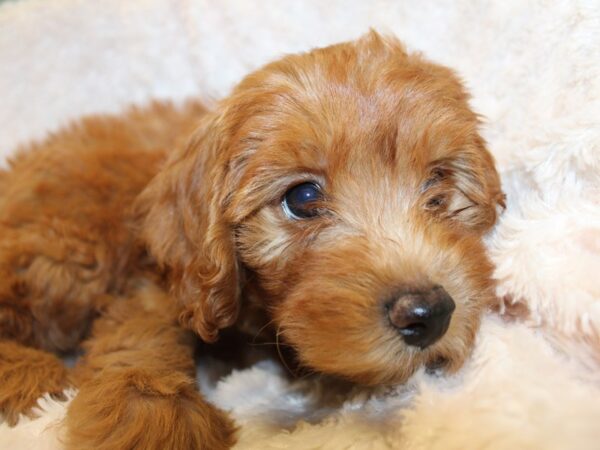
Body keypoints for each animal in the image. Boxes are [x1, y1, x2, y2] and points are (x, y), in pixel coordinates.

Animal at [0, 30, 504, 446]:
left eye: (437, 184)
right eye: (302, 198)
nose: (429, 313)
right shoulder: (166, 277)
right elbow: (141, 335)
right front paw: (152, 417)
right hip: (67, 247)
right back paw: (35, 377)